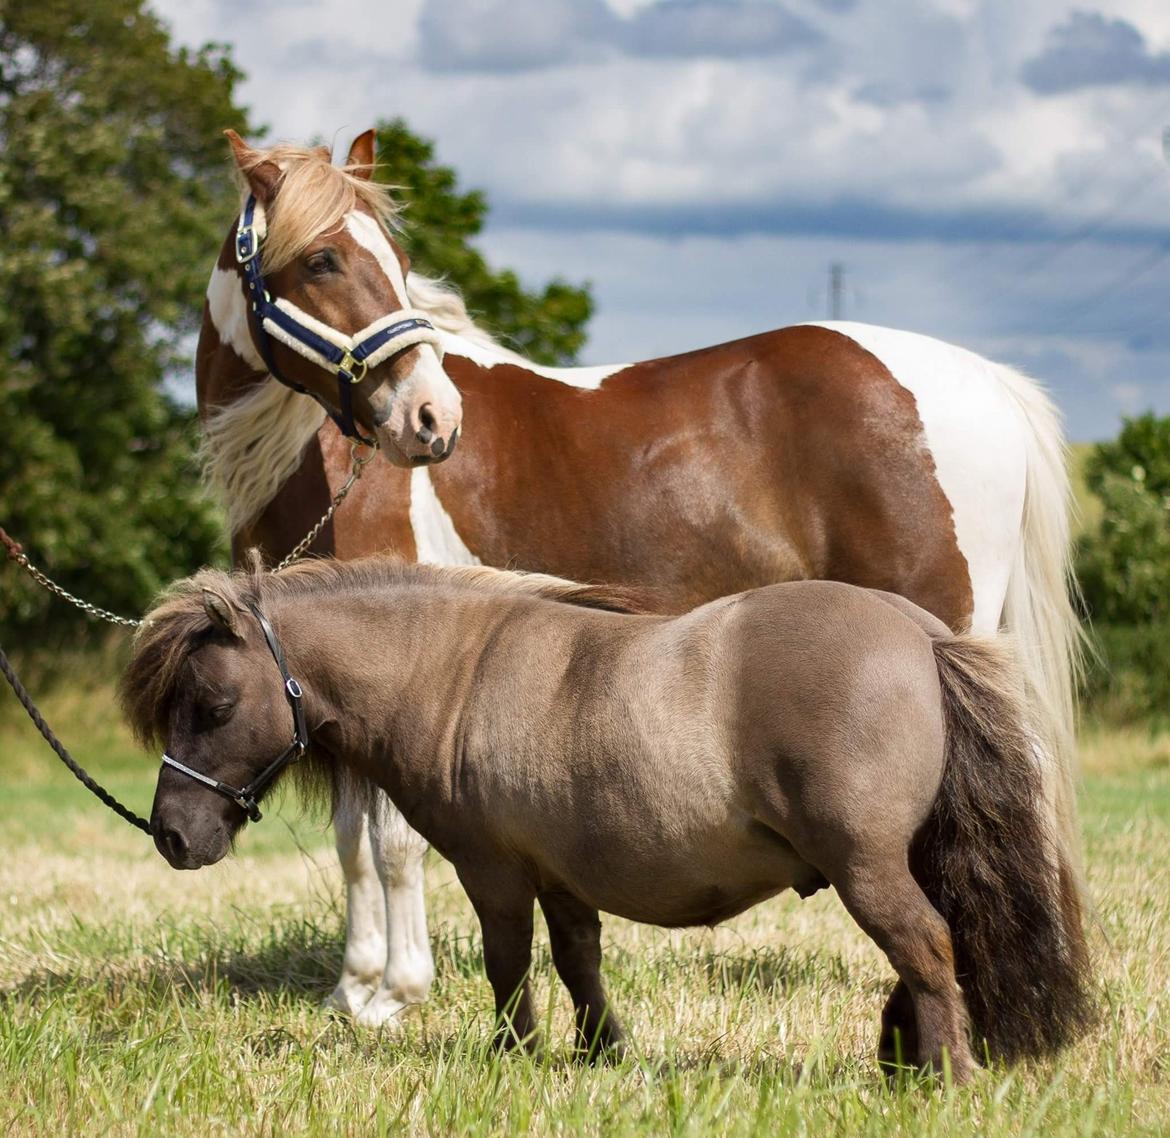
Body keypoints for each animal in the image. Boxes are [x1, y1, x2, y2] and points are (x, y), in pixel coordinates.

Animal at [123, 554, 1090, 1080]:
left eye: (211, 705)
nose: (171, 834)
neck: (455, 672)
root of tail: (921, 635)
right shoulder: (562, 876)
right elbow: (579, 961)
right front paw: (600, 1054)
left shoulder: (494, 871)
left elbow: (509, 963)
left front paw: (513, 1054)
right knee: (934, 948)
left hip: (869, 867)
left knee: (926, 947)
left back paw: (945, 1075)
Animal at [196, 130, 1081, 1029]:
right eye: (322, 259)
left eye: (396, 259)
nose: (432, 419)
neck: (321, 458)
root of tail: (986, 382)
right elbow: (353, 840)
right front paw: (354, 988)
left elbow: (395, 842)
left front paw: (396, 994)